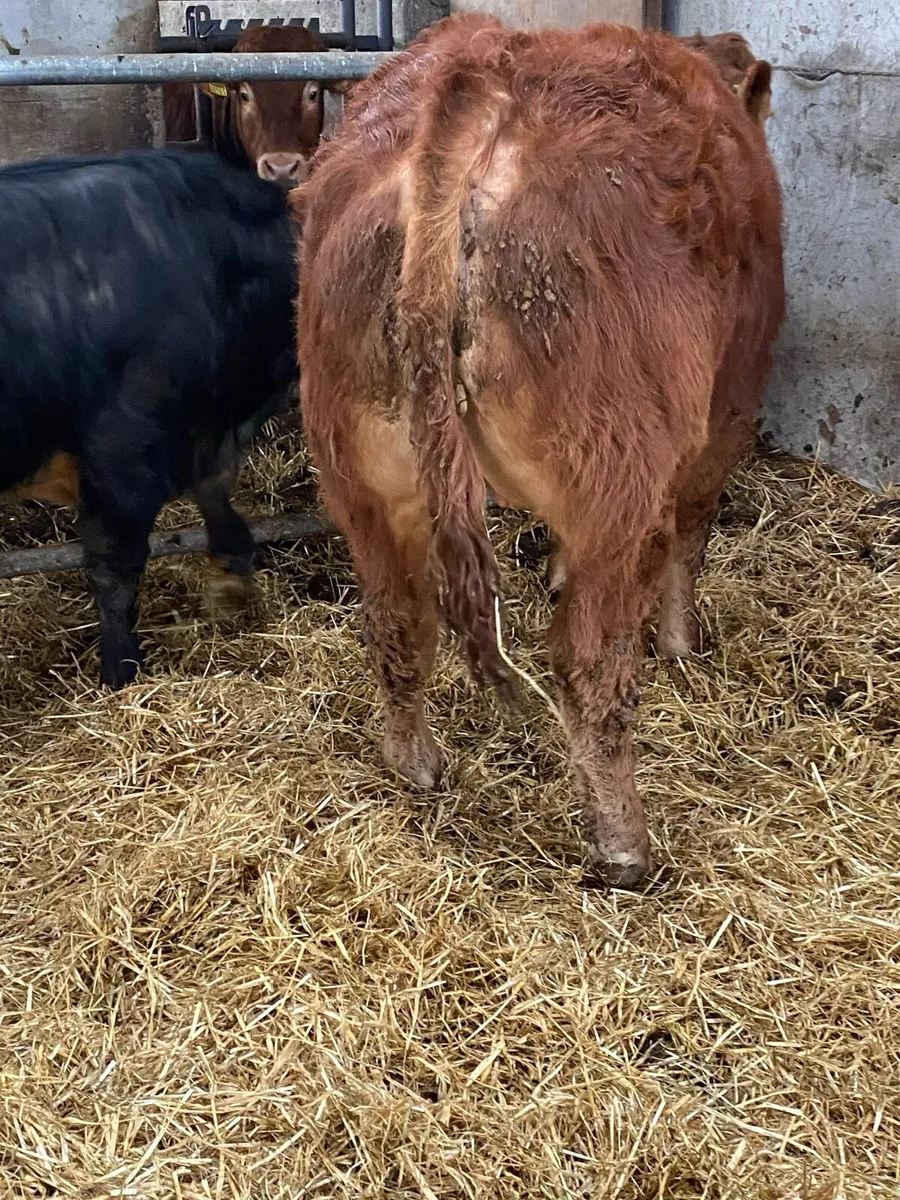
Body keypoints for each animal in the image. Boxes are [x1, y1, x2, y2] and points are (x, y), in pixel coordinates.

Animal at [295, 14, 784, 888]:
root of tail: (480, 87)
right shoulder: (725, 417)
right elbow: (692, 541)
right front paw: (682, 645)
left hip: (361, 477)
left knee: (396, 620)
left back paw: (413, 764)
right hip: (616, 484)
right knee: (588, 665)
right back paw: (624, 845)